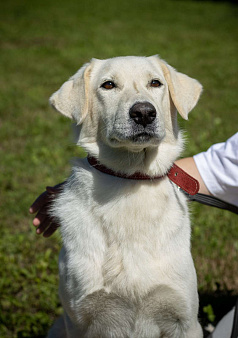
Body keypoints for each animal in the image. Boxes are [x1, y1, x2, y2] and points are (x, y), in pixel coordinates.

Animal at [48, 54, 203, 336]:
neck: (132, 179)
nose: (144, 112)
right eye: (108, 85)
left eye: (155, 83)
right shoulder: (79, 321)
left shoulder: (184, 321)